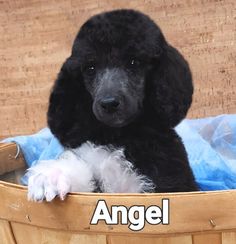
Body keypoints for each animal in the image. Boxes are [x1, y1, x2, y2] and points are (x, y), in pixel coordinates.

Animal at [27, 8, 197, 201]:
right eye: (90, 68)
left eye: (134, 62)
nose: (109, 104)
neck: (118, 135)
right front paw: (50, 177)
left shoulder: (170, 179)